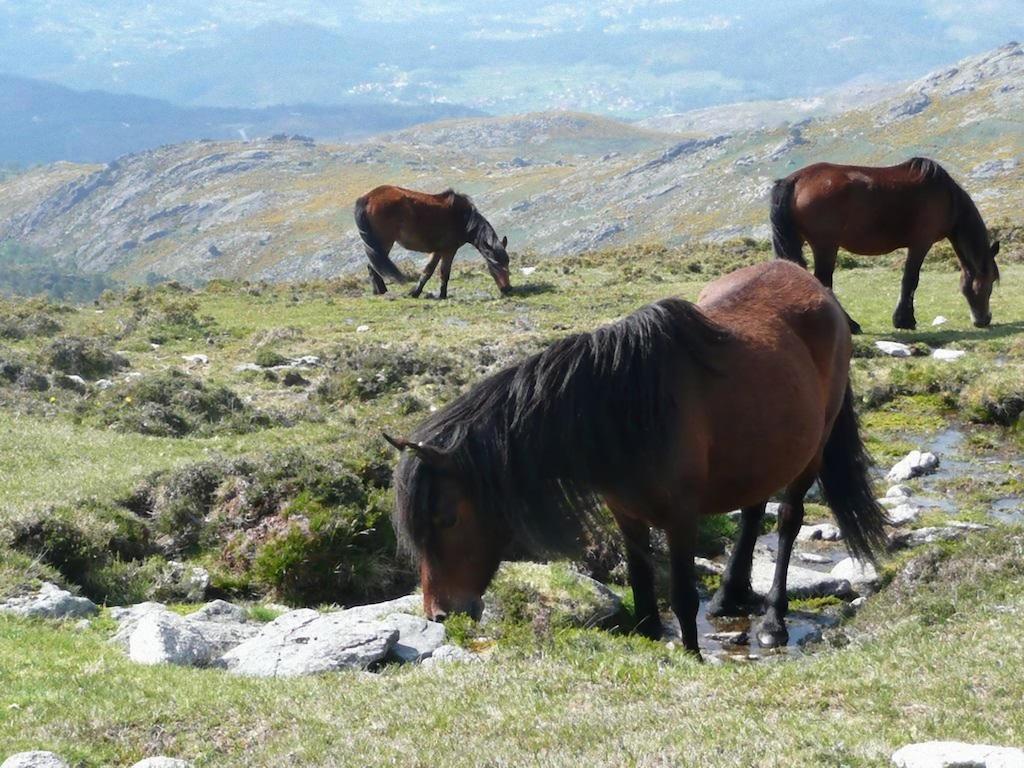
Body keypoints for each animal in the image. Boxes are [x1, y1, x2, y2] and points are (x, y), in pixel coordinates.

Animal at [354, 186, 512, 301]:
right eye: (495, 264)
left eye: (507, 263)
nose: (508, 289)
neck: (462, 219)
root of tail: (367, 198)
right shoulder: (448, 250)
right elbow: (443, 273)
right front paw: (441, 295)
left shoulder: (437, 251)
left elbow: (428, 272)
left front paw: (416, 293)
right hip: (384, 243)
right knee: (374, 265)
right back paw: (382, 291)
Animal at [385, 262, 888, 659]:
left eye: (448, 519)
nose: (440, 613)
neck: (628, 408)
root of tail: (816, 287)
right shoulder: (626, 513)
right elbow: (643, 589)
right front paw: (652, 637)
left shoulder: (682, 517)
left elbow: (681, 595)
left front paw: (691, 654)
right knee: (751, 512)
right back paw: (729, 597)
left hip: (811, 452)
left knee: (786, 521)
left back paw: (772, 621)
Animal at [770, 157, 999, 331]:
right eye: (990, 283)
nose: (984, 320)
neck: (948, 197)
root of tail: (795, 179)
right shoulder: (921, 244)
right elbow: (910, 280)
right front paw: (904, 320)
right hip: (826, 247)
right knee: (824, 281)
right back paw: (851, 324)